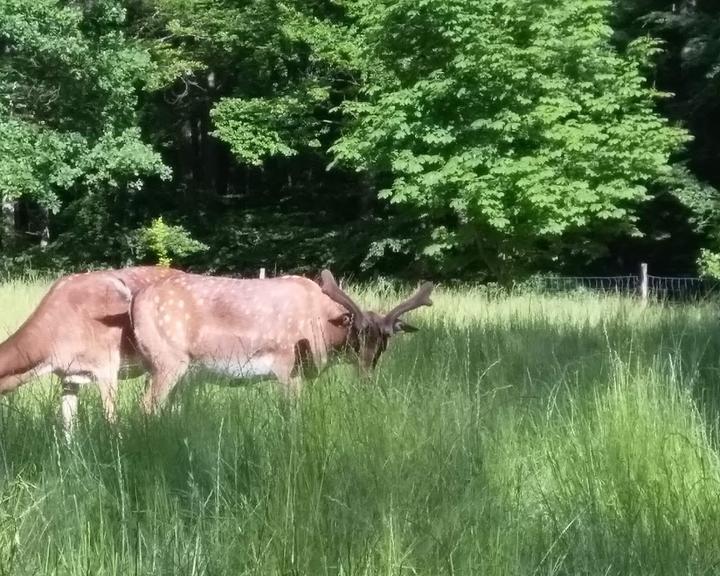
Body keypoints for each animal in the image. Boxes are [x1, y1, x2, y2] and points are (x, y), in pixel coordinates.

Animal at [128, 270, 434, 410]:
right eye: (356, 334)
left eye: (386, 339)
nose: (366, 373)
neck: (322, 326)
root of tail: (135, 302)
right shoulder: (287, 364)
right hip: (167, 359)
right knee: (146, 406)